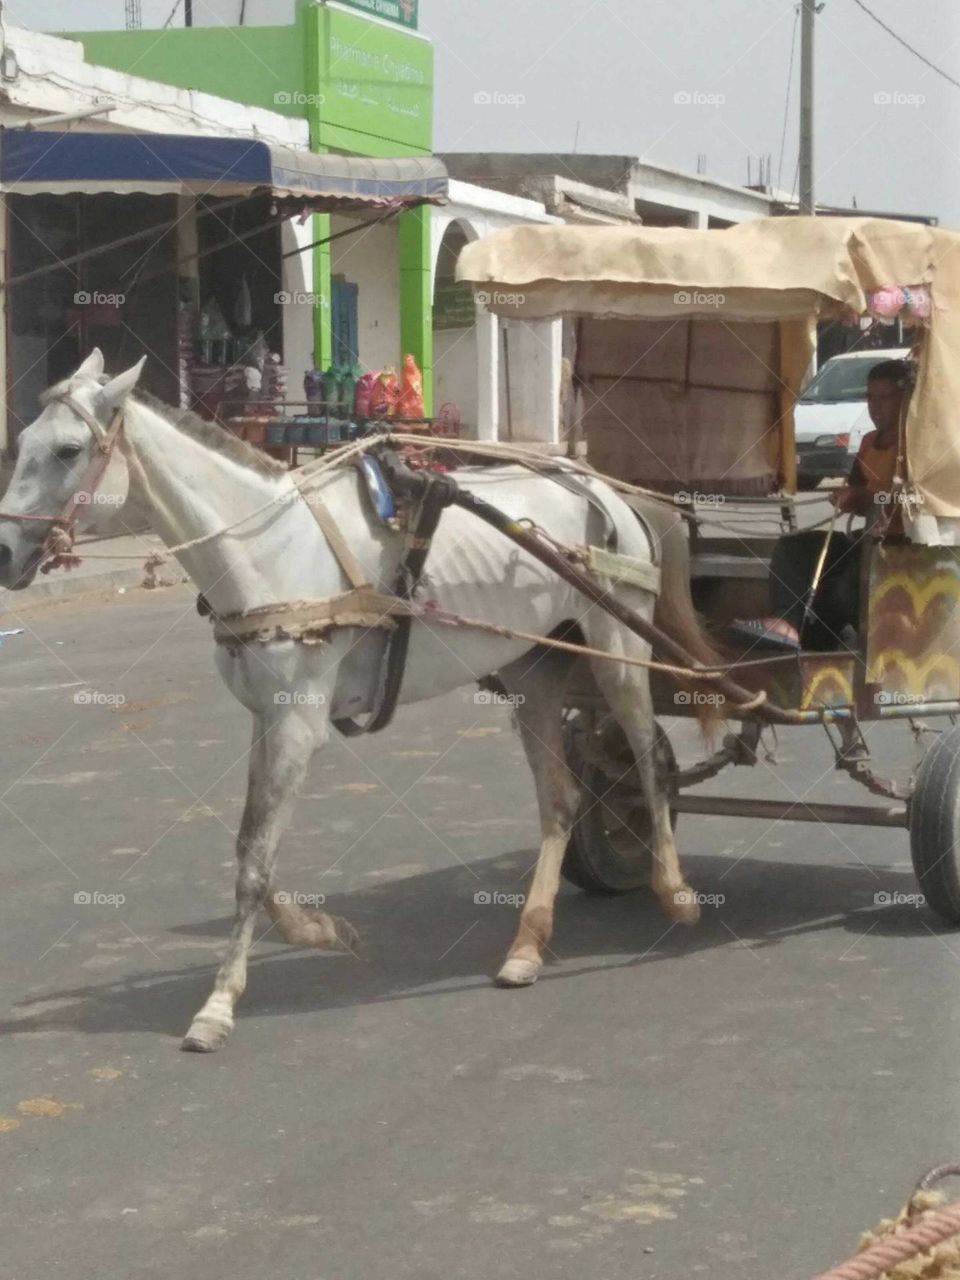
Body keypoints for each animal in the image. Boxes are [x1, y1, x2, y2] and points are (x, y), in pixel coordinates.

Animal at [0, 348, 716, 1049]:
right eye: (22, 442)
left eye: (67, 450)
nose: (4, 551)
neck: (265, 548)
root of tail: (608, 491)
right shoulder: (268, 717)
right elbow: (250, 847)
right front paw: (318, 931)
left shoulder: (298, 722)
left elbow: (254, 863)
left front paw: (219, 1005)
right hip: (533, 667)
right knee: (560, 800)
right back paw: (526, 946)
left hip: (620, 646)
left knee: (648, 759)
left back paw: (674, 892)